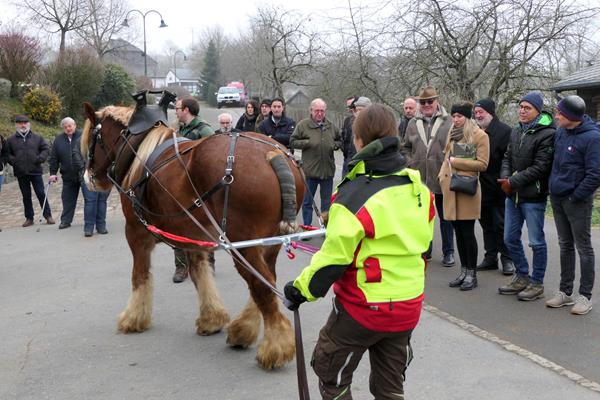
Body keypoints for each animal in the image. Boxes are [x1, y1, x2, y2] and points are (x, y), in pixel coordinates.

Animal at [80, 102, 304, 368]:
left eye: (92, 139)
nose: (88, 179)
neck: (139, 153)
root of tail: (273, 155)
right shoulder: (191, 236)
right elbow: (200, 274)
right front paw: (212, 318)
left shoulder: (136, 233)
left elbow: (139, 275)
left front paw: (134, 318)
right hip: (269, 243)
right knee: (266, 279)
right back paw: (243, 330)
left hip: (243, 244)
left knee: (261, 284)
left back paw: (274, 347)